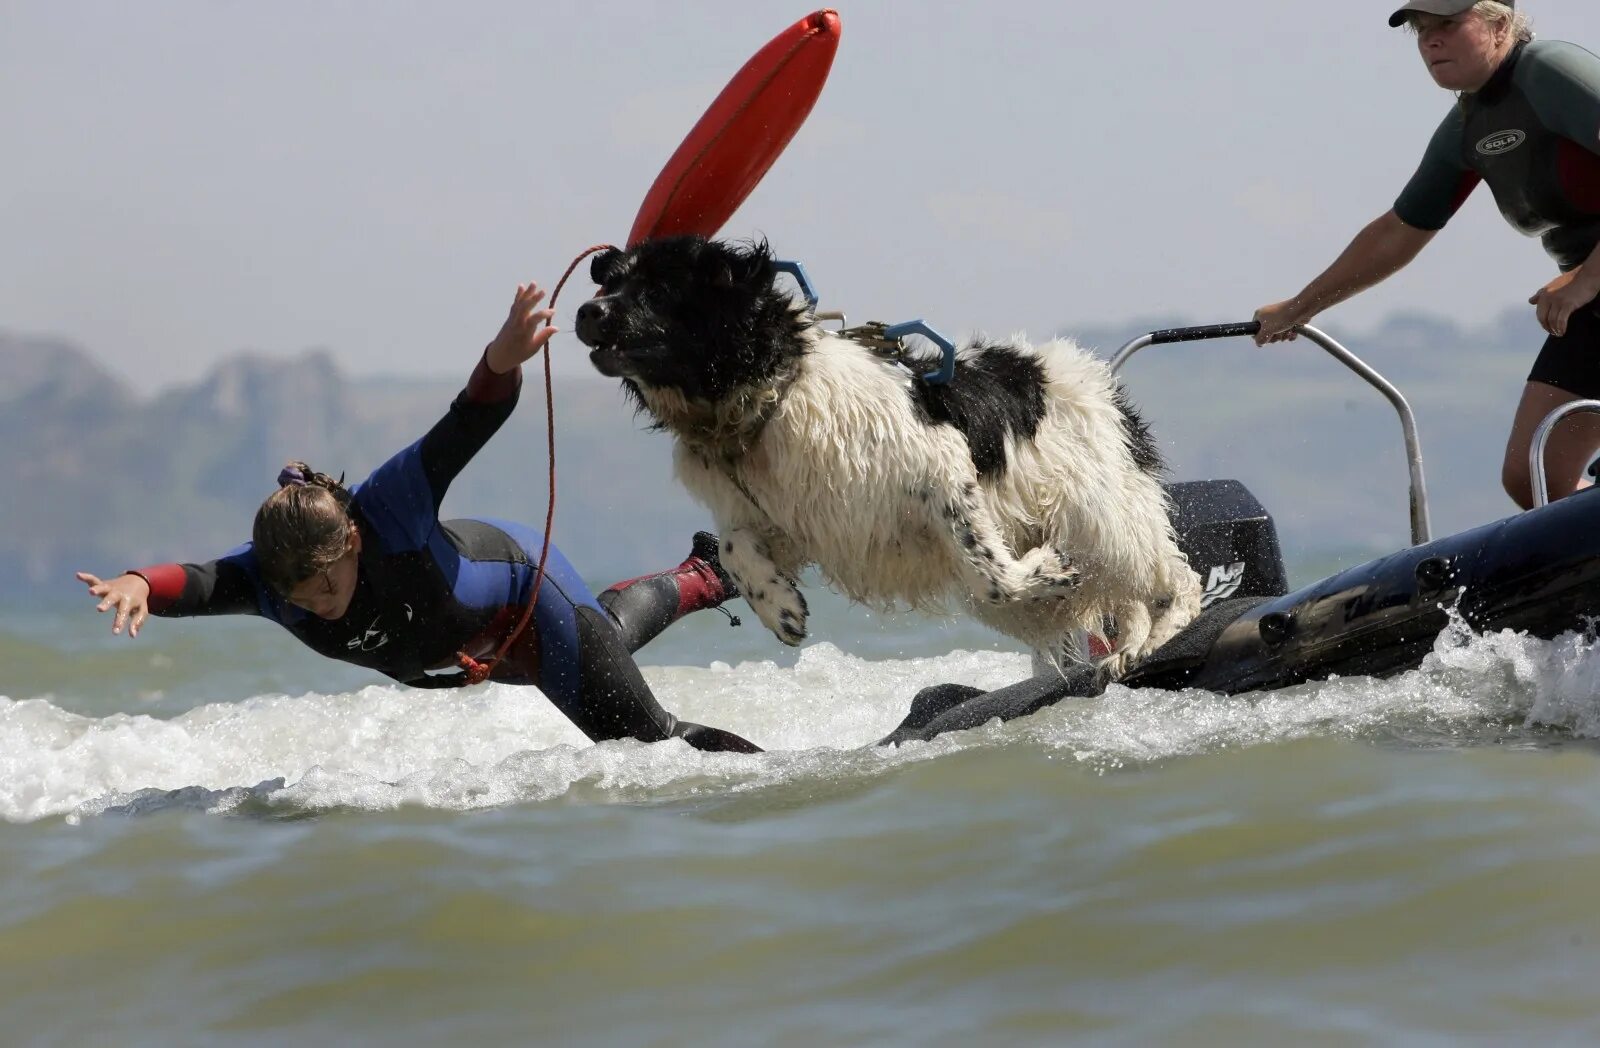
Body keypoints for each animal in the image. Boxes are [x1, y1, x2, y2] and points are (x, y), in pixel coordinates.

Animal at [576, 235, 1203, 681]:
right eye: (613, 283)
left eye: (658, 293)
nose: (585, 311)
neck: (769, 396)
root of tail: (1097, 380)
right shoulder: (787, 514)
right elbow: (733, 548)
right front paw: (781, 607)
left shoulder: (942, 473)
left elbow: (993, 575)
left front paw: (1046, 568)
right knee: (1124, 597)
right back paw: (1125, 650)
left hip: (1099, 512)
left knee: (1174, 579)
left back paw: (1158, 633)